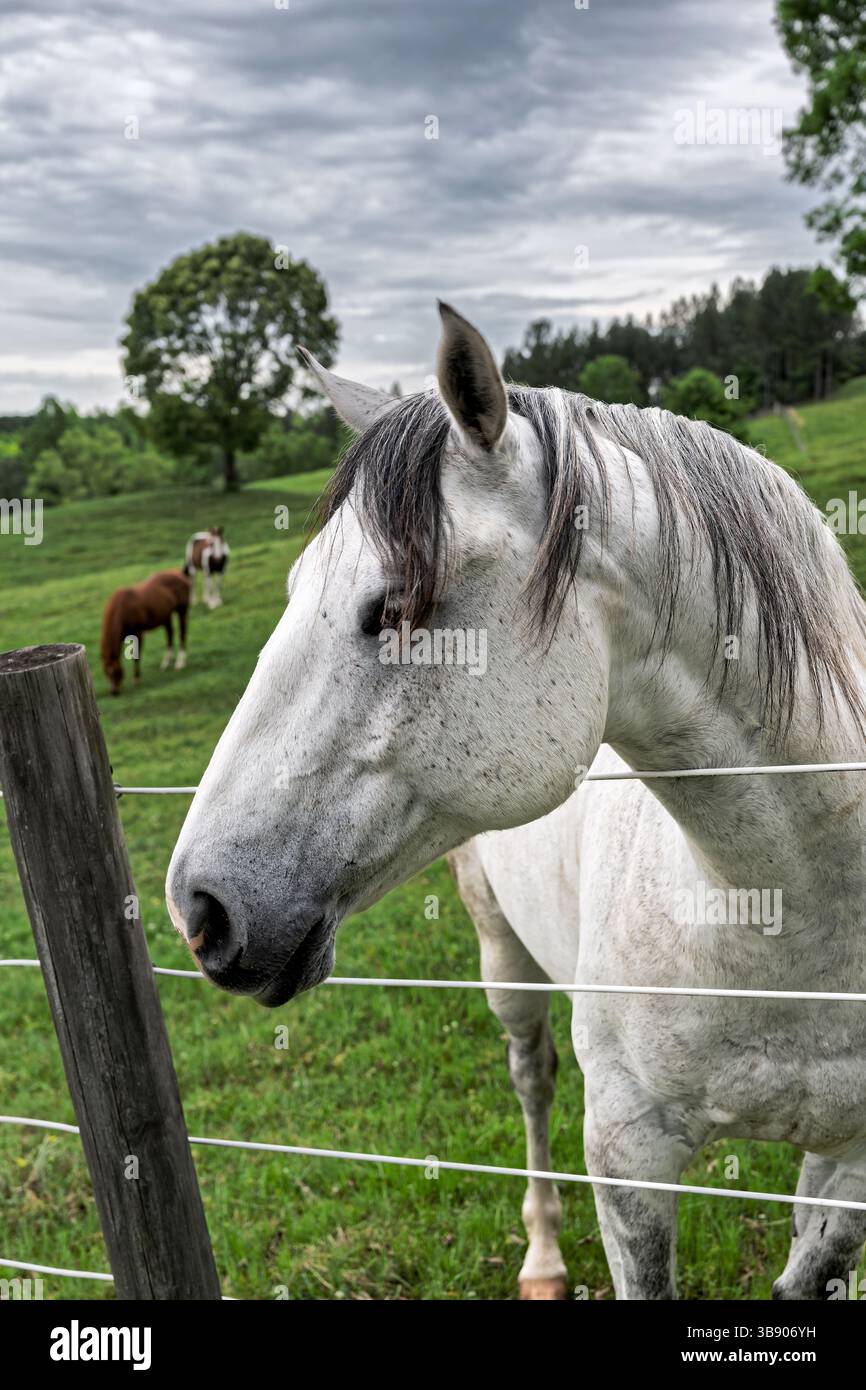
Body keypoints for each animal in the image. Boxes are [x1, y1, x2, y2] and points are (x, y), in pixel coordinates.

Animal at [166, 302, 866, 1301]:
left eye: (397, 605)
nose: (200, 907)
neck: (791, 911)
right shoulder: (628, 1159)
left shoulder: (851, 1167)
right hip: (503, 959)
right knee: (531, 1079)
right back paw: (540, 1258)